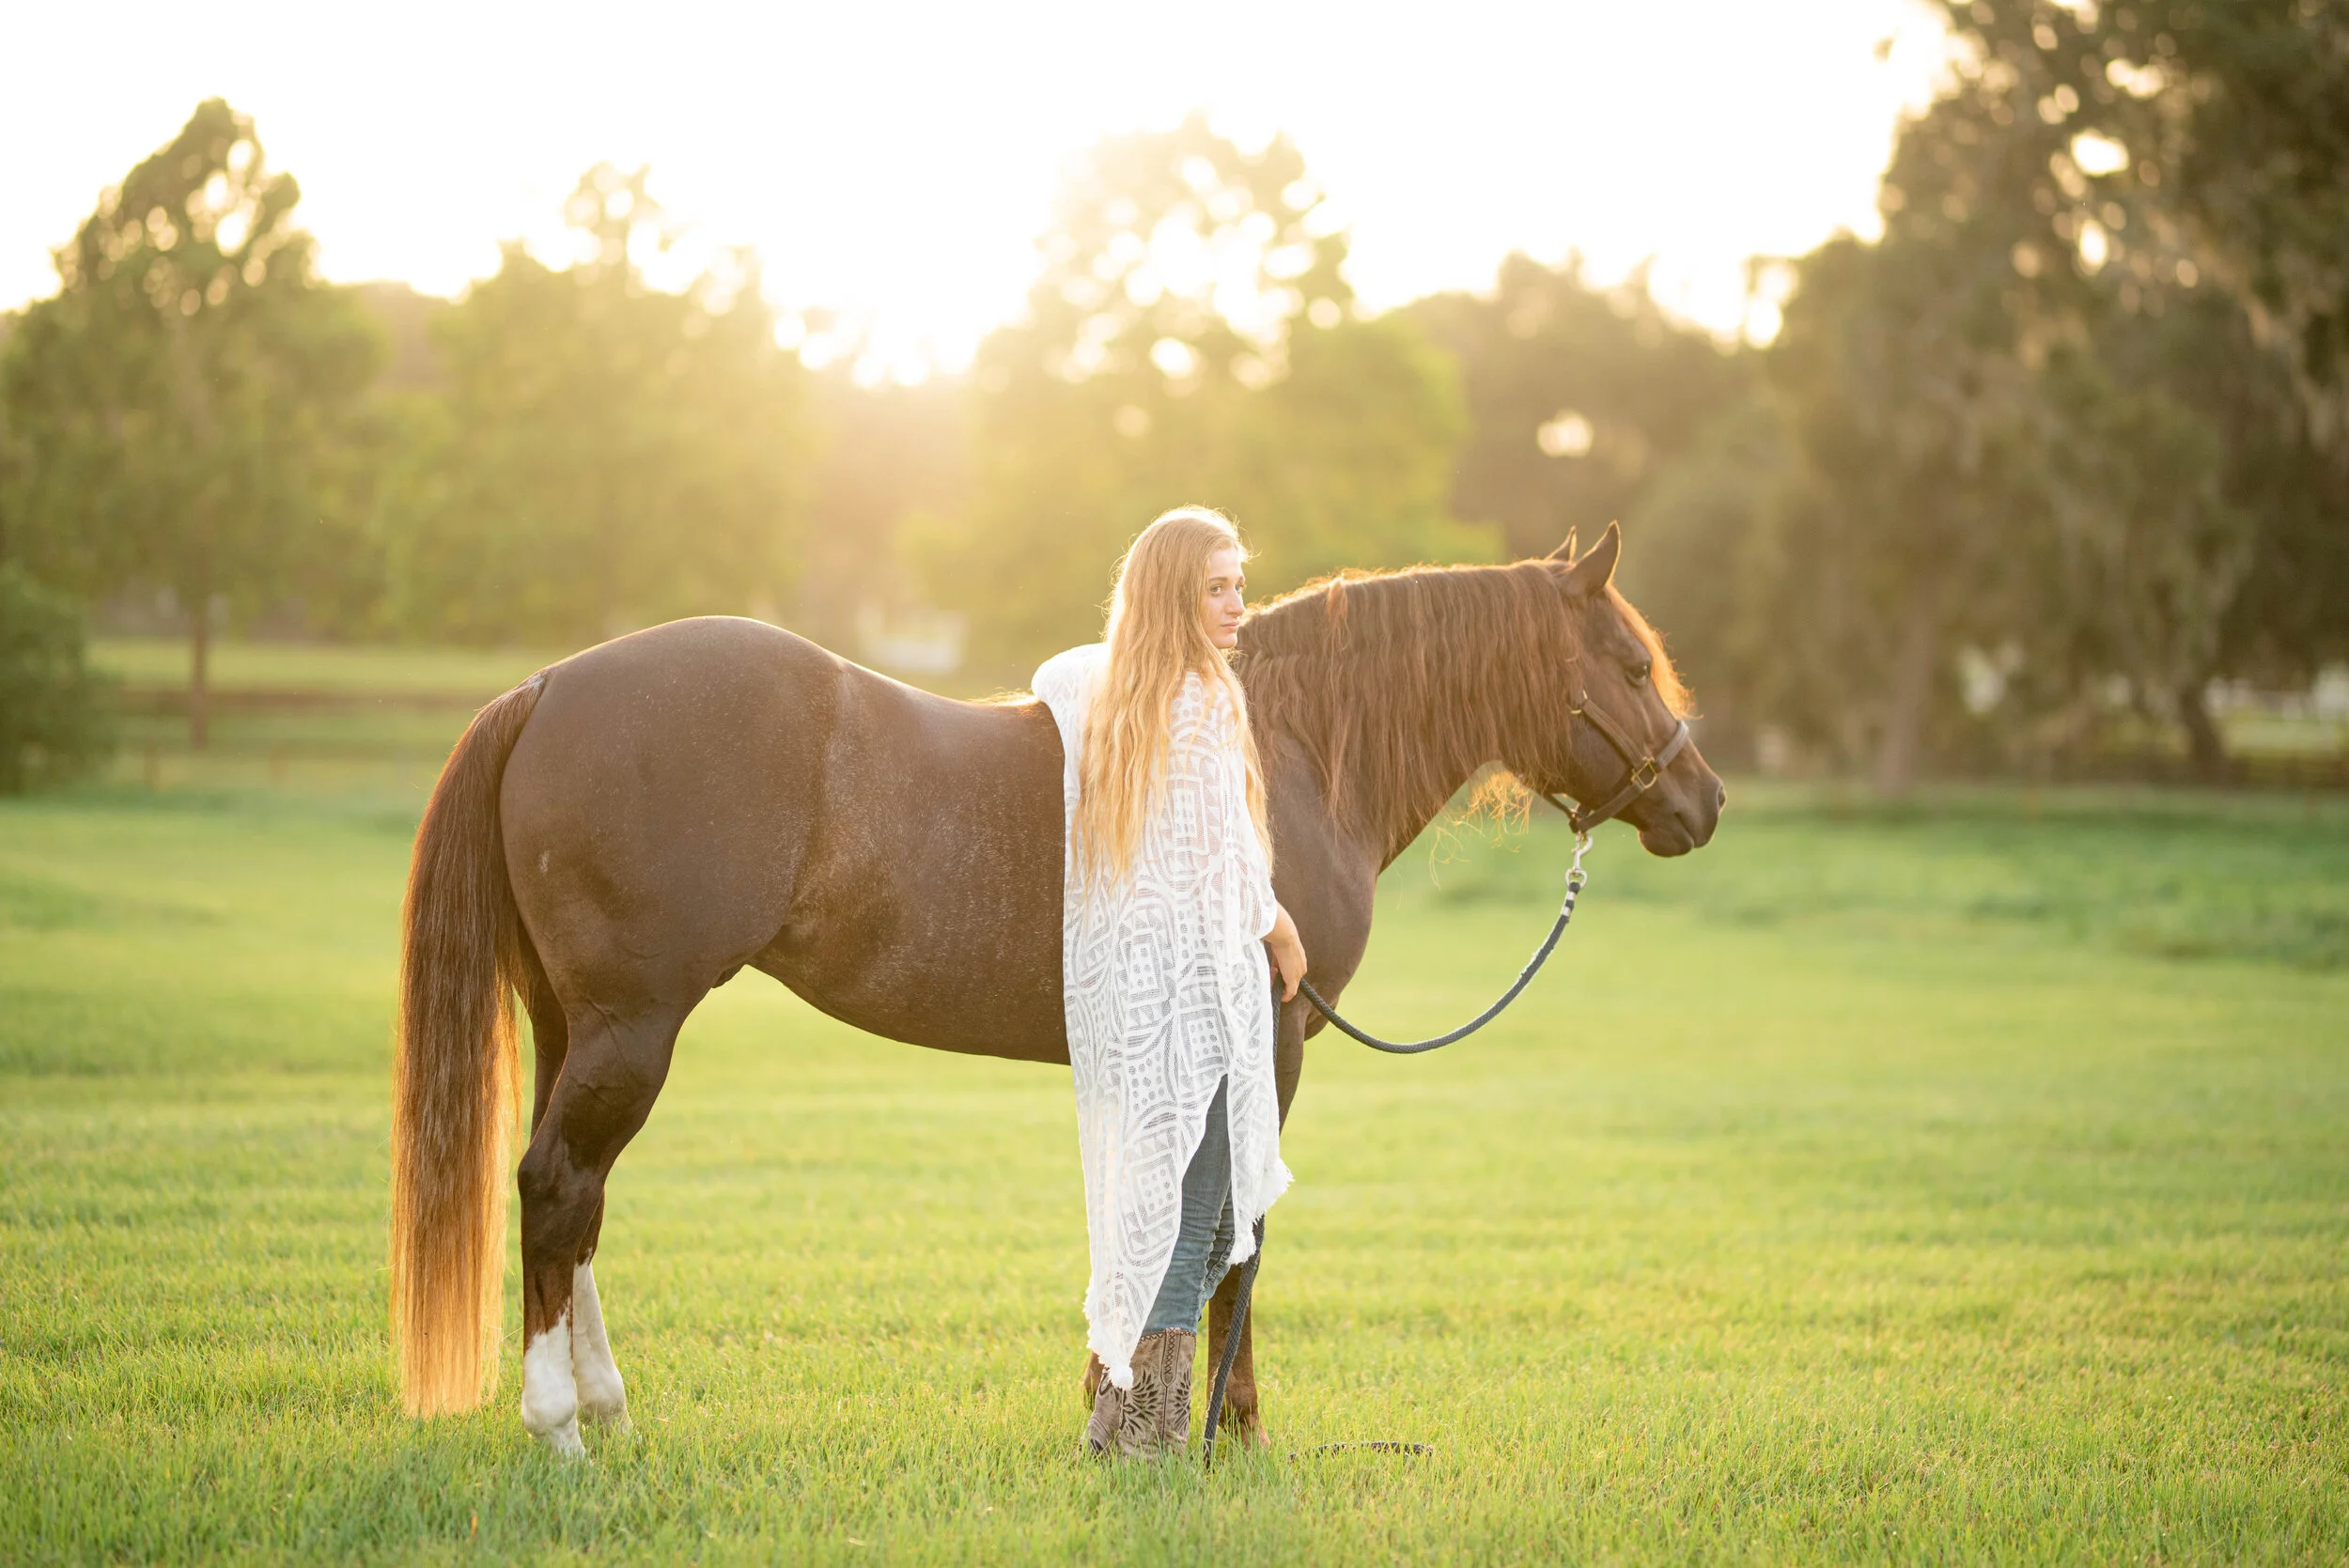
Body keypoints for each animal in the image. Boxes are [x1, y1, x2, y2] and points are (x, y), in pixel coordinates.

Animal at [390, 521, 1724, 1456]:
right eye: (1629, 661)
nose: (1701, 802)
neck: (1280, 755)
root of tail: (551, 686)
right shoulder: (1271, 1039)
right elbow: (1236, 1236)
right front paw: (1229, 1427)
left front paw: (1121, 1401)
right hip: (633, 1027)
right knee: (558, 1186)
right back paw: (561, 1426)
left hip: (574, 1026)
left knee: (576, 1202)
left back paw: (607, 1408)